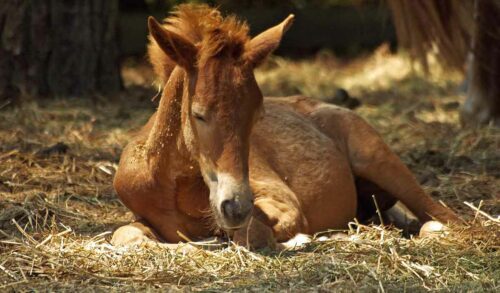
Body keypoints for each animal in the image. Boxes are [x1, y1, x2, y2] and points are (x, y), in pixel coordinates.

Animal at [111, 4, 458, 249]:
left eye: (257, 114)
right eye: (198, 114)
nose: (235, 207)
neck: (172, 185)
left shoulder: (281, 201)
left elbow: (254, 233)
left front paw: (299, 238)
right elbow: (126, 236)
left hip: (378, 160)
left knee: (443, 216)